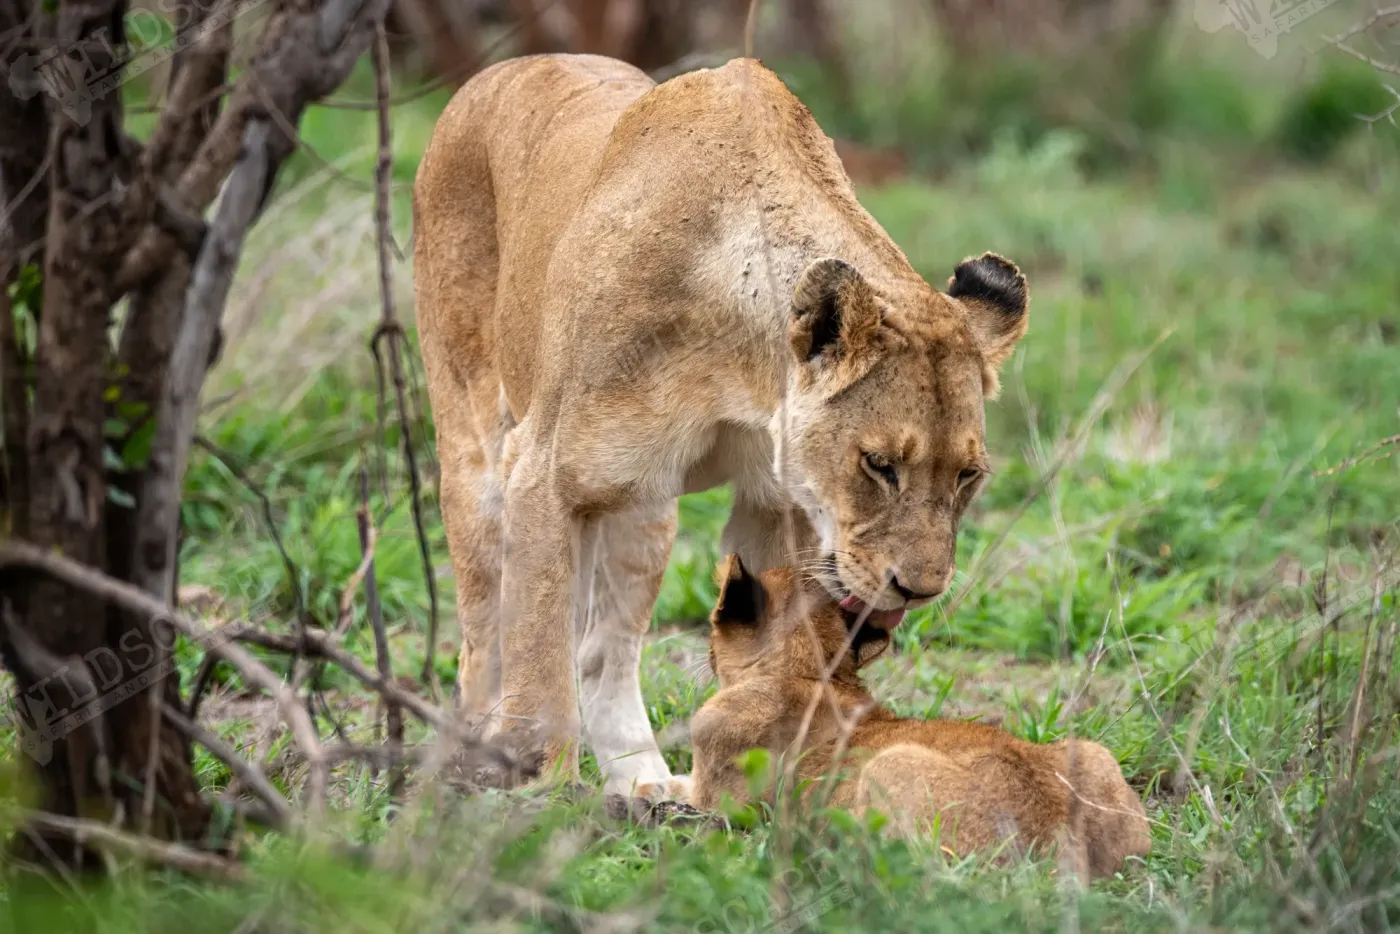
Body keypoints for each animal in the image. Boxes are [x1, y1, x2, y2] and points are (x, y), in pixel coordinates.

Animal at [413, 53, 1030, 800]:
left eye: (968, 476)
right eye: (880, 465)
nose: (920, 591)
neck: (746, 372)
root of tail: (500, 70)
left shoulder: (774, 503)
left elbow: (779, 640)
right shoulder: (543, 474)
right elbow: (536, 649)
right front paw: (541, 794)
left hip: (645, 508)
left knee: (603, 649)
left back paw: (643, 783)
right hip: (479, 451)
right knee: (486, 631)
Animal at [690, 555, 1151, 880]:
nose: (706, 655)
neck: (809, 670)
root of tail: (1061, 844)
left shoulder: (715, 800)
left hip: (890, 765)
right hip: (1094, 754)